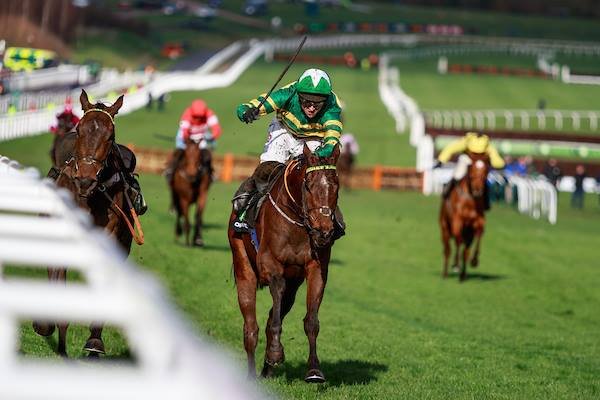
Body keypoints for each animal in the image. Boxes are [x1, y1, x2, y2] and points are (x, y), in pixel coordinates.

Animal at [228, 143, 341, 383]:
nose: (324, 231)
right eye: (308, 185)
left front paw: (314, 370)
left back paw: (267, 369)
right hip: (243, 266)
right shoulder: (271, 266)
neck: (296, 224)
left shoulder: (316, 269)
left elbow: (311, 321)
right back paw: (252, 374)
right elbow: (275, 306)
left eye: (336, 186)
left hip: (293, 285)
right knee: (251, 327)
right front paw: (275, 353)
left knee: (273, 315)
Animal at [439, 152, 490, 282]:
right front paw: (455, 265)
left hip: (468, 233)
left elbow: (479, 234)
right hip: (444, 228)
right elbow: (458, 240)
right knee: (448, 249)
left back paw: (463, 274)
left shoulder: (478, 222)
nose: (478, 190)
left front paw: (475, 260)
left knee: (466, 250)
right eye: (471, 170)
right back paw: (446, 273)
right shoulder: (457, 221)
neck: (470, 200)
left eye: (486, 171)